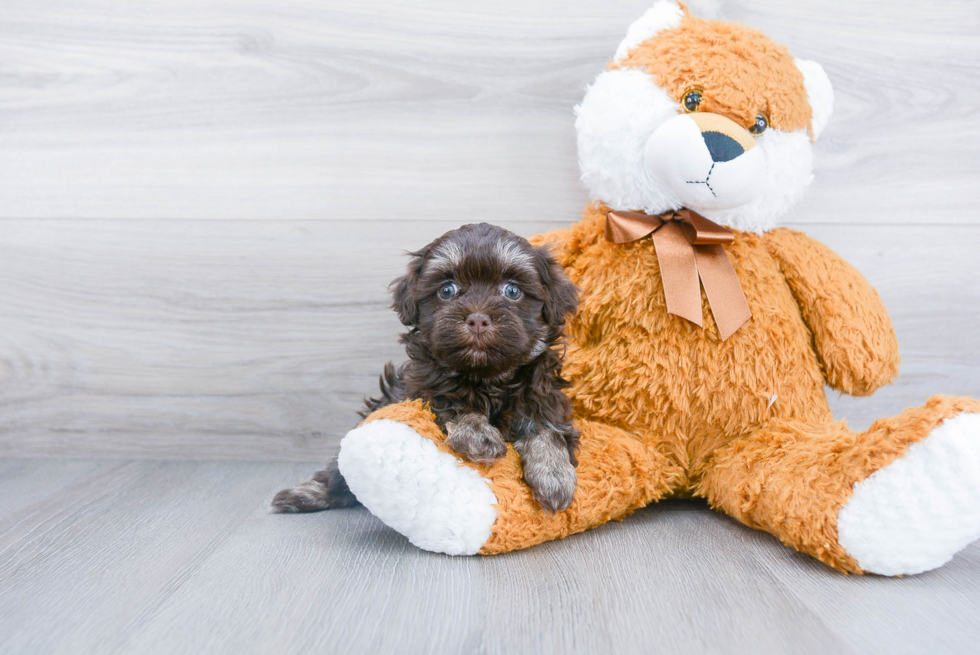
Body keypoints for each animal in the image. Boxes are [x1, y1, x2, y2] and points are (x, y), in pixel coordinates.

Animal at [274, 223, 580, 516]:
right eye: (447, 290)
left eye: (513, 291)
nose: (478, 319)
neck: (486, 377)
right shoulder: (419, 390)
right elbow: (451, 404)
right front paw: (477, 434)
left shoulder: (544, 398)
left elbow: (549, 431)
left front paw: (554, 475)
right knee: (339, 473)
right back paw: (308, 494)